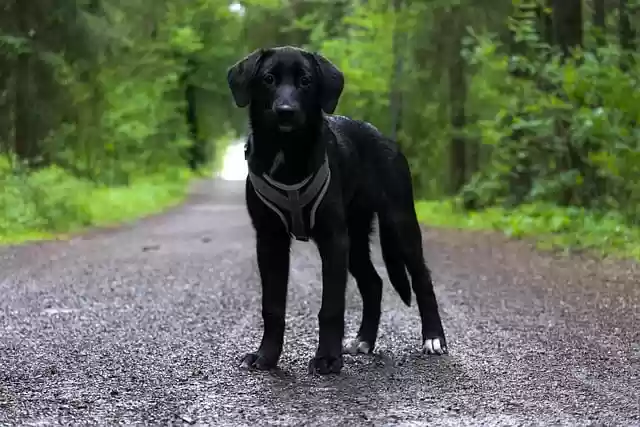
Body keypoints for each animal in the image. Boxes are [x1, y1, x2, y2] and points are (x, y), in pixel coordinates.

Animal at [229, 45, 444, 376]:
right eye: (268, 79)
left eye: (306, 81)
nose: (286, 111)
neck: (286, 153)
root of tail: (384, 138)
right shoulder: (269, 239)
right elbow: (272, 306)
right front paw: (266, 356)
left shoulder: (332, 238)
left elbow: (331, 306)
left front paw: (327, 359)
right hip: (354, 239)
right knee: (373, 283)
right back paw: (364, 340)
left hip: (399, 223)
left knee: (422, 278)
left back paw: (433, 338)